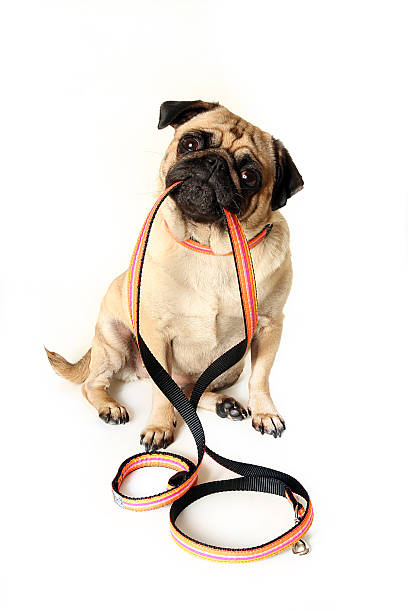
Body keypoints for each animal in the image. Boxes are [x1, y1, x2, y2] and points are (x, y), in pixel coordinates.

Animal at [47, 100, 302, 452]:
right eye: (191, 144)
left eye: (249, 176)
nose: (214, 162)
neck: (210, 248)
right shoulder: (156, 334)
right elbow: (161, 394)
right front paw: (158, 426)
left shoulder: (269, 327)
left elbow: (260, 377)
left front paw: (265, 413)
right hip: (113, 340)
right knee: (96, 385)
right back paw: (111, 407)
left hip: (229, 369)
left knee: (190, 393)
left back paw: (223, 403)